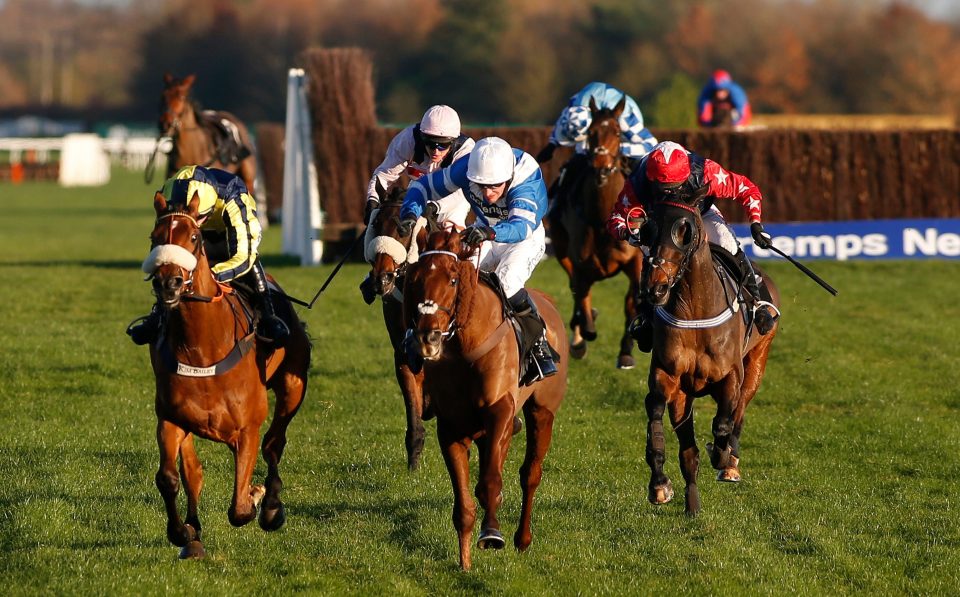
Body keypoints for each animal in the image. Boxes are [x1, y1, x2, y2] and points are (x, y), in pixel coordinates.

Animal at [144, 192, 310, 560]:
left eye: (193, 238)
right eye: (154, 237)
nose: (168, 283)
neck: (202, 348)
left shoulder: (247, 429)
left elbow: (239, 507)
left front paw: (258, 496)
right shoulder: (171, 419)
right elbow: (170, 477)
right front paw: (182, 531)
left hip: (293, 386)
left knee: (274, 443)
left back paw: (272, 506)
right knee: (194, 473)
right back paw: (194, 534)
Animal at [402, 227, 568, 568]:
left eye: (453, 279)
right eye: (415, 278)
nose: (428, 337)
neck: (466, 344)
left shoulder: (499, 410)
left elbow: (490, 481)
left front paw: (491, 534)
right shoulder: (452, 427)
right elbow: (464, 503)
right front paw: (464, 563)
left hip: (542, 411)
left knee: (530, 473)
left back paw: (522, 538)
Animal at [548, 97, 644, 368]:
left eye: (618, 132)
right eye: (590, 132)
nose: (601, 168)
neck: (602, 219)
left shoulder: (635, 261)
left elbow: (632, 301)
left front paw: (626, 352)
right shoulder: (580, 261)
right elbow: (581, 293)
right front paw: (583, 334)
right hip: (561, 248)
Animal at [636, 198, 780, 516]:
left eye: (685, 231)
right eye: (646, 229)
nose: (656, 287)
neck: (695, 309)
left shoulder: (730, 377)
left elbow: (724, 422)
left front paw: (723, 456)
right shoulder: (669, 379)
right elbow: (658, 418)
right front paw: (660, 485)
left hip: (758, 361)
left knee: (740, 409)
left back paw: (730, 462)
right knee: (689, 449)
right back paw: (692, 505)